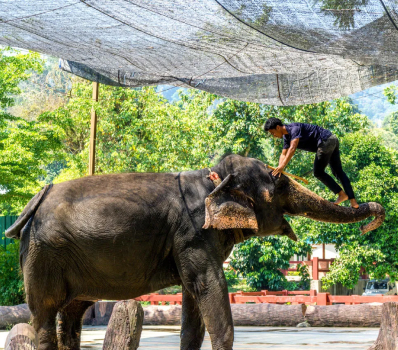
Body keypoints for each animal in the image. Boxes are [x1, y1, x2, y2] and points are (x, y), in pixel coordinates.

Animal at [6, 155, 384, 350]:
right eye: (277, 183)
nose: (374, 217)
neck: (214, 177)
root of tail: (34, 201)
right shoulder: (192, 234)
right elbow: (209, 287)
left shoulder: (189, 241)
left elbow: (194, 299)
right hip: (45, 254)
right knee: (45, 314)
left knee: (72, 313)